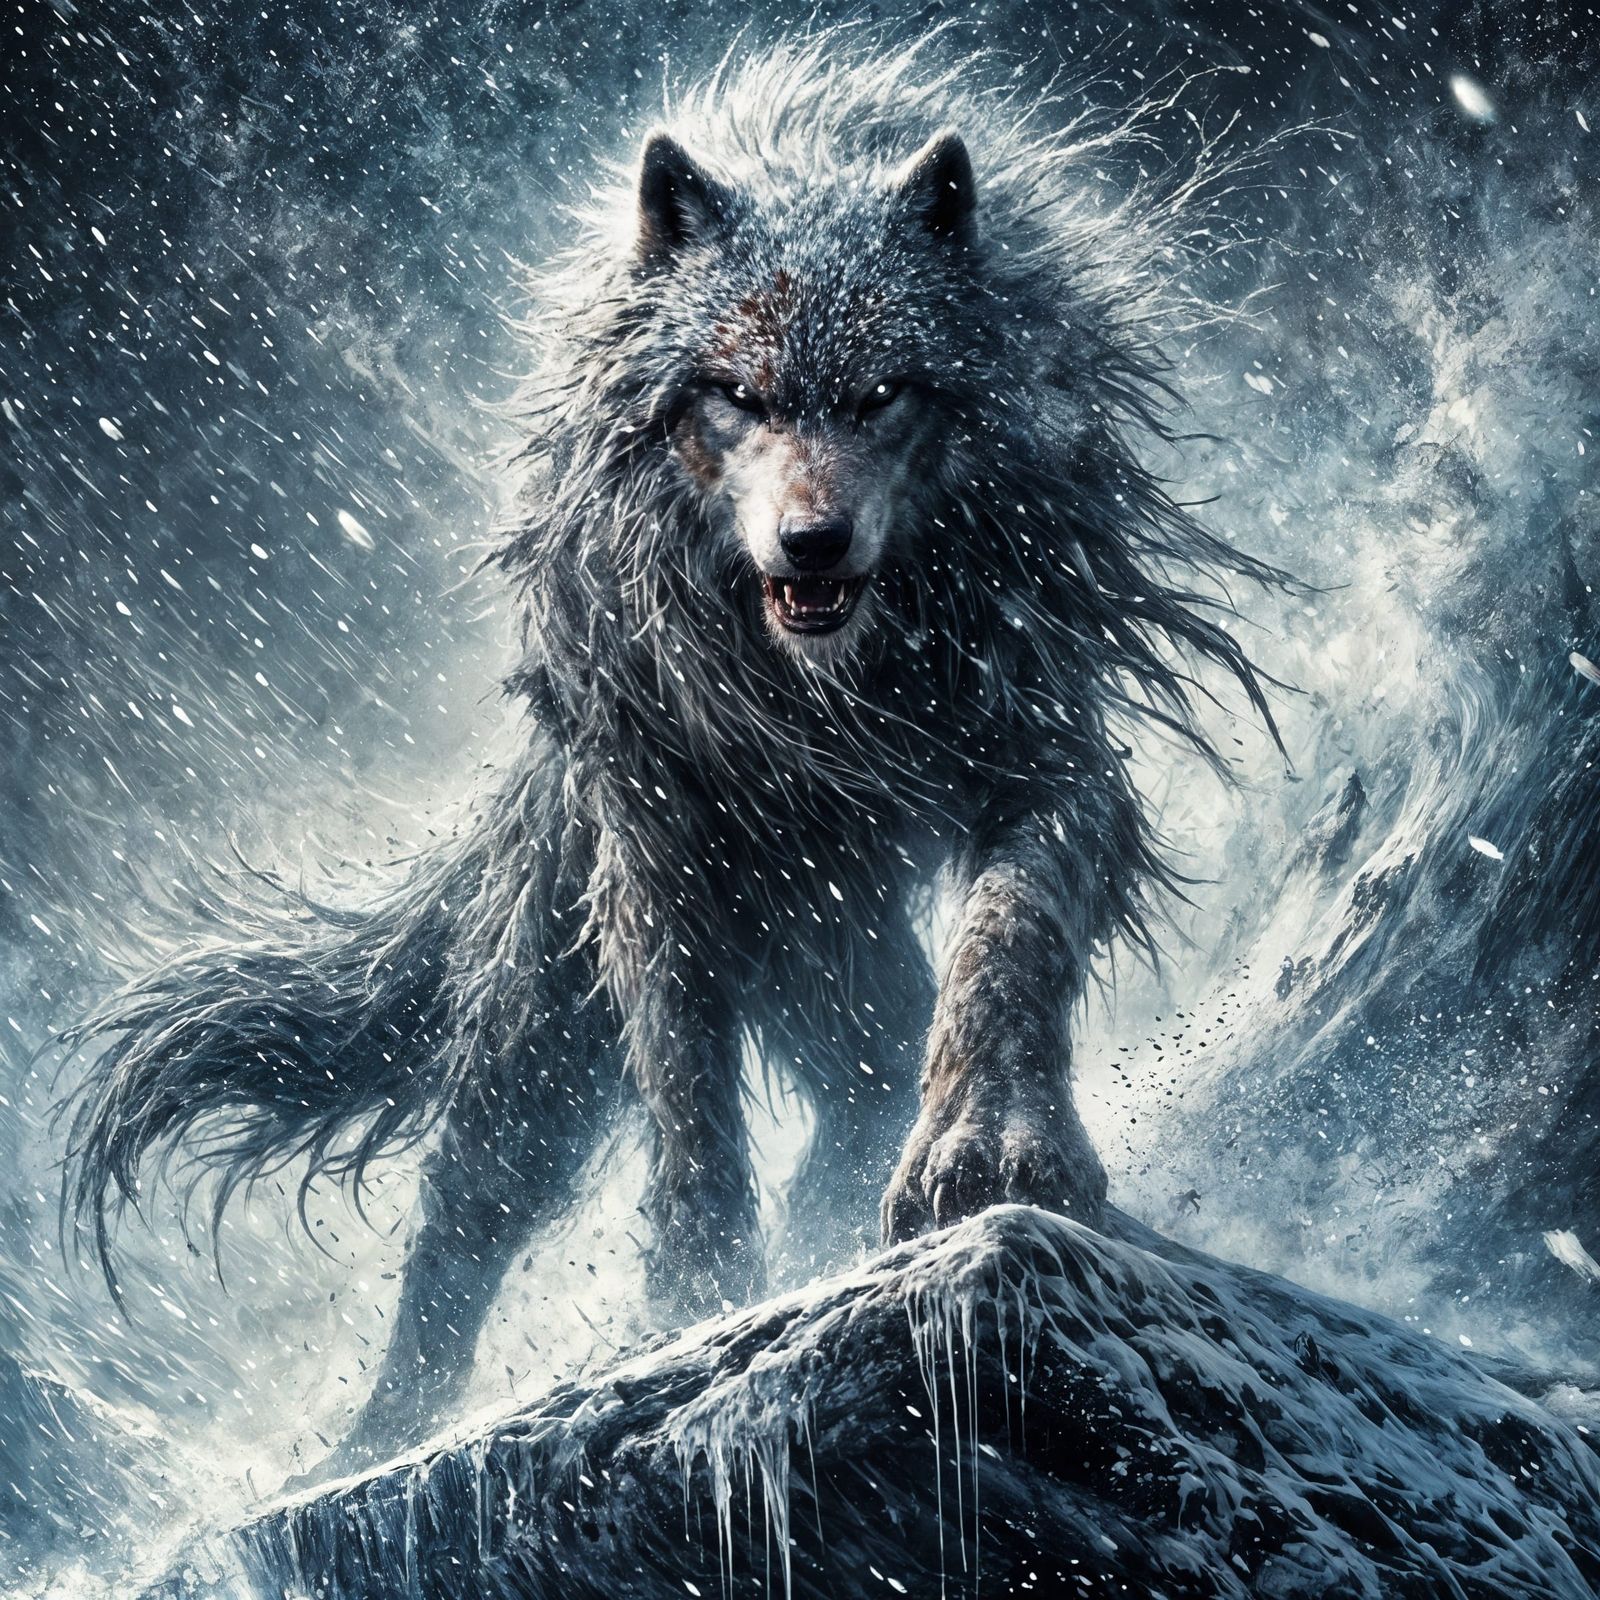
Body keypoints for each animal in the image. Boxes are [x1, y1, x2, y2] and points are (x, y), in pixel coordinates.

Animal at [62, 38, 1282, 1466]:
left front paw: (987, 1154)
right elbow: (688, 1098)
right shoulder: (666, 846)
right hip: (550, 1022)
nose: (812, 541)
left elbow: (1005, 942)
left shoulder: (1043, 755)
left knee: (864, 1058)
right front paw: (695, 1294)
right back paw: (379, 1437)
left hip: (815, 931)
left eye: (882, 393)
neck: (835, 696)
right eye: (736, 397)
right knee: (464, 1213)